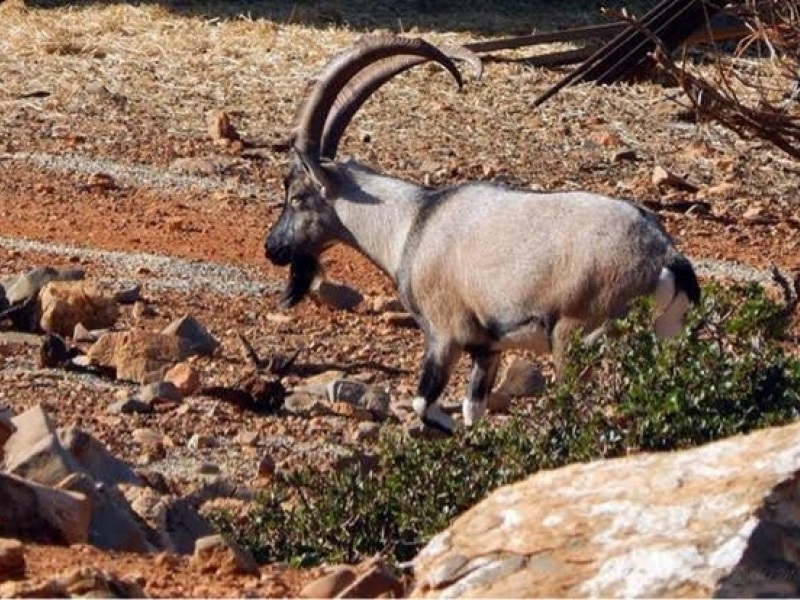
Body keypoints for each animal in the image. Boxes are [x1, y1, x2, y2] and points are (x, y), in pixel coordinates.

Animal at [264, 34, 700, 436]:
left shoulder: (444, 336)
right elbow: (473, 407)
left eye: (297, 195)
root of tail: (664, 256)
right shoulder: (487, 348)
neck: (414, 224)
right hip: (665, 340)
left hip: (577, 340)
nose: (273, 247)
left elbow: (424, 403)